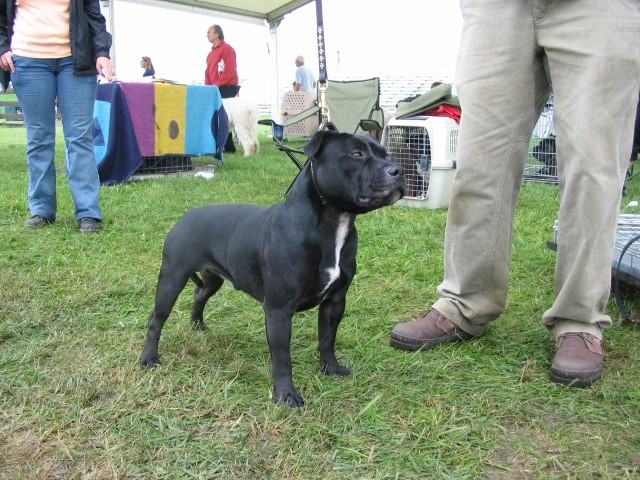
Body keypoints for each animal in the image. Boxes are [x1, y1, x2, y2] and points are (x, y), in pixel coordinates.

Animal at [140, 129, 404, 406]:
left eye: (386, 154)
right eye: (356, 154)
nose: (398, 170)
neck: (334, 222)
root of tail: (185, 216)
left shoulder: (335, 301)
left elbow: (327, 339)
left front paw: (330, 368)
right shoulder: (279, 310)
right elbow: (282, 358)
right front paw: (286, 395)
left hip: (213, 277)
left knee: (200, 294)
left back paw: (197, 325)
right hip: (172, 277)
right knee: (156, 318)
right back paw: (149, 358)